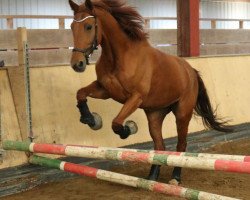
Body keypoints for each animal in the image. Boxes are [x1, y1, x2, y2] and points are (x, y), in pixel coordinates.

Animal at [69, 0, 230, 184]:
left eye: (88, 26)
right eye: (72, 26)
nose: (77, 64)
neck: (119, 57)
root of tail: (191, 71)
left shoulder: (135, 98)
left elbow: (116, 123)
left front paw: (128, 129)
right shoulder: (105, 90)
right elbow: (81, 93)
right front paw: (90, 119)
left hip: (182, 114)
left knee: (181, 144)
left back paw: (175, 177)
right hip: (155, 115)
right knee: (159, 145)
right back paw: (152, 176)